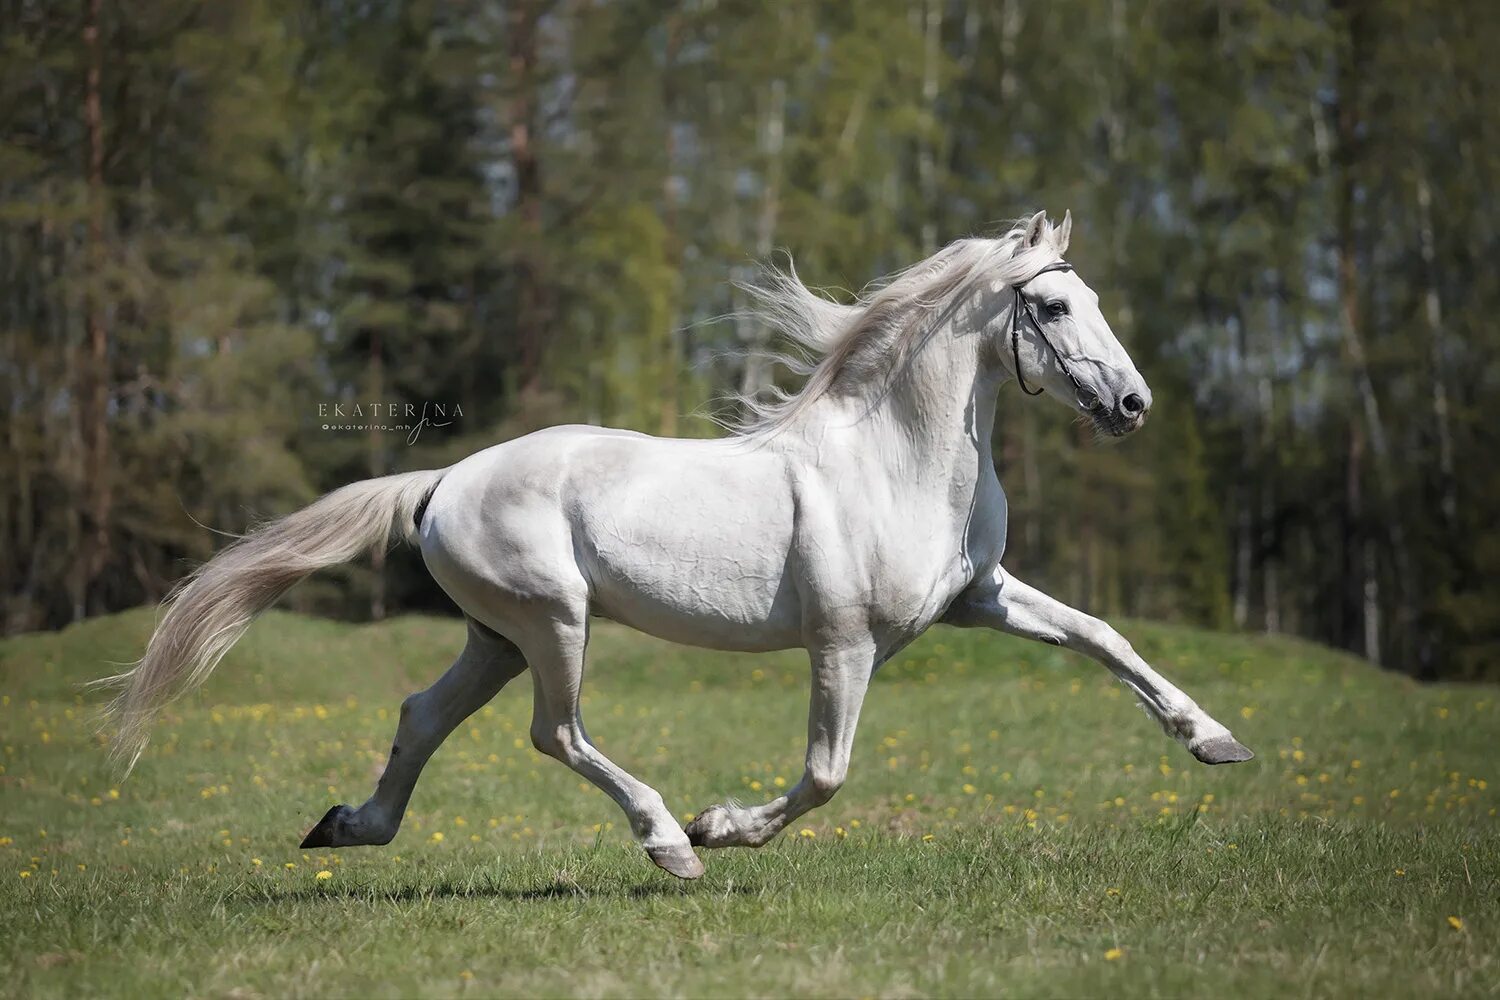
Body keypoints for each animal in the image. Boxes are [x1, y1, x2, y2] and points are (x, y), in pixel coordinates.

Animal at [102, 211, 1254, 875]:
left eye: (1089, 297)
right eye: (1052, 306)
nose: (1133, 404)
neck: (894, 460)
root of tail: (442, 482)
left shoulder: (981, 596)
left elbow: (1103, 637)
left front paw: (1214, 741)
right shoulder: (845, 644)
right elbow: (825, 773)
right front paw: (718, 827)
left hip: (495, 636)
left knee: (424, 715)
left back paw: (348, 827)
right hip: (554, 624)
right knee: (556, 734)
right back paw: (667, 845)